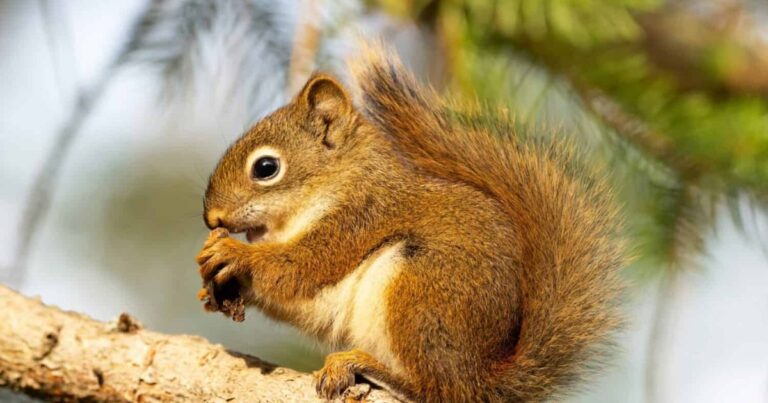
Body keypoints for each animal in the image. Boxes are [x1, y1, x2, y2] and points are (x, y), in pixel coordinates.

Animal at [195, 42, 626, 402]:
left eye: (266, 168)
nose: (212, 217)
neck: (338, 183)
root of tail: (483, 380)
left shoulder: (360, 218)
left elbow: (300, 268)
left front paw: (234, 253)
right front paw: (215, 284)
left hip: (419, 291)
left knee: (438, 390)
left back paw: (363, 366)